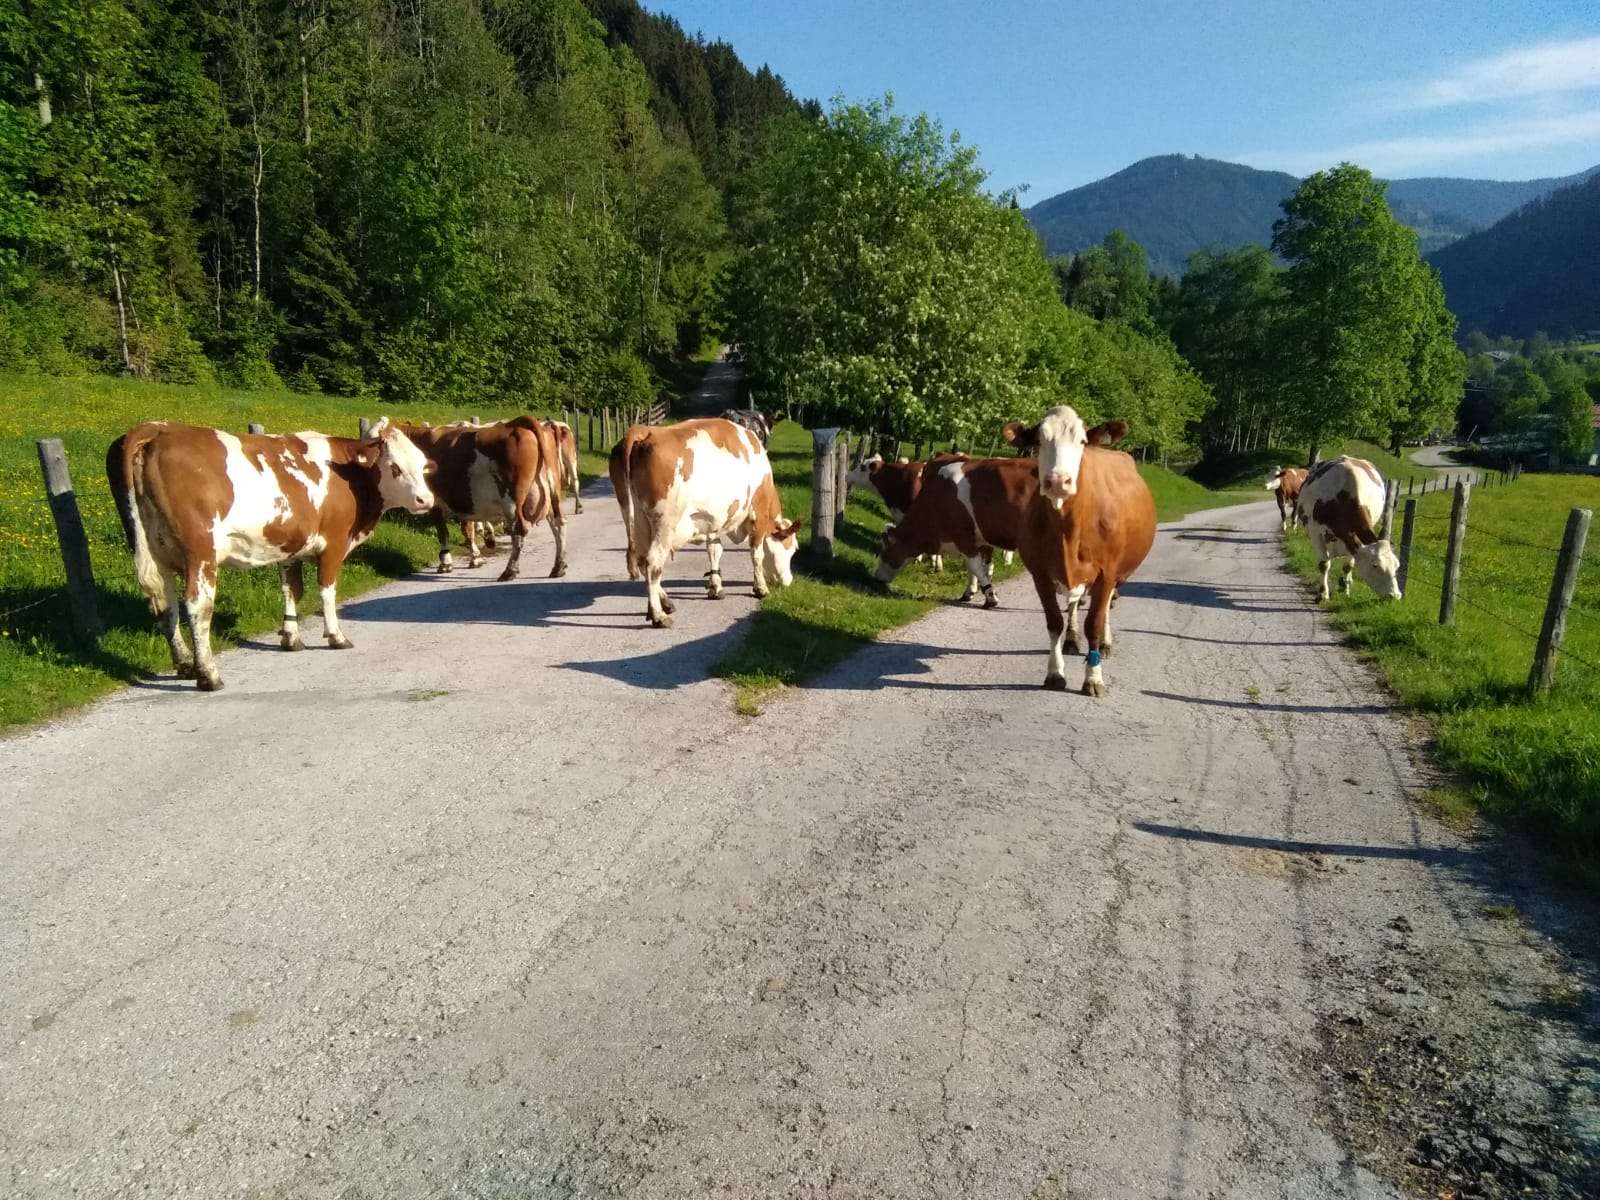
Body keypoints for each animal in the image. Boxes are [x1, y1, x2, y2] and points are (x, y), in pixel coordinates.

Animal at [105, 419, 435, 691]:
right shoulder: (333, 543)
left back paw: (185, 664)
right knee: (197, 606)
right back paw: (208, 674)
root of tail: (158, 428)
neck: (349, 475)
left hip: (155, 551)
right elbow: (327, 591)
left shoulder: (290, 546)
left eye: (422, 466)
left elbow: (291, 589)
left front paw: (291, 637)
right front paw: (336, 636)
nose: (426, 500)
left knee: (166, 606)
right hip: (200, 552)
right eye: (394, 467)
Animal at [617, 419, 806, 630]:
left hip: (636, 519)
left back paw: (663, 604)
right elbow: (757, 554)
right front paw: (761, 588)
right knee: (652, 563)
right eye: (792, 549)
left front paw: (716, 587)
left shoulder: (714, 521)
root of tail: (643, 431)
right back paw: (659, 616)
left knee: (642, 561)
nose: (788, 581)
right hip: (664, 523)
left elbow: (715, 550)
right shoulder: (758, 515)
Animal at [998, 409, 1152, 700]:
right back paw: (1071, 639)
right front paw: (1055, 673)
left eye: (1082, 441)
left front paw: (1093, 678)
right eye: (1039, 441)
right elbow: (1054, 622)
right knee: (1073, 604)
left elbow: (1095, 622)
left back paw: (1105, 644)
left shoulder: (1107, 572)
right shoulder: (1040, 573)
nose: (1058, 481)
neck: (1067, 533)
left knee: (1105, 607)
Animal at [1286, 454, 1401, 601]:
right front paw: (1323, 594)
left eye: (1397, 566)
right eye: (1375, 565)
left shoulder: (1351, 537)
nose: (1396, 596)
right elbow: (1324, 564)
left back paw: (1347, 581)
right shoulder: (1316, 533)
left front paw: (1345, 589)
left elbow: (1348, 566)